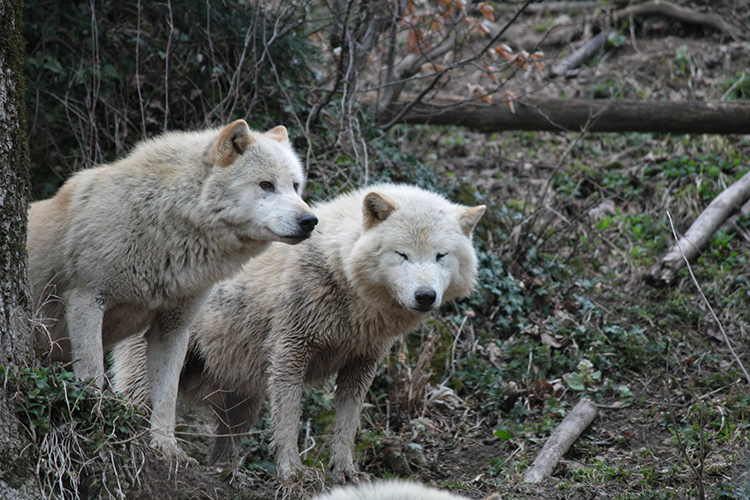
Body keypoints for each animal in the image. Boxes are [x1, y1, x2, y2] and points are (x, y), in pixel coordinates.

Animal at [27, 119, 318, 458]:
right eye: (266, 185)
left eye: (295, 185)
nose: (310, 220)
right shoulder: (87, 300)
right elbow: (93, 374)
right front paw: (94, 424)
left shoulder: (174, 328)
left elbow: (167, 396)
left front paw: (167, 448)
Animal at [113, 184, 488, 480]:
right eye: (403, 255)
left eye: (440, 256)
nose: (425, 296)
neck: (341, 275)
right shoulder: (291, 352)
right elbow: (290, 421)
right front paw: (292, 473)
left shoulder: (361, 363)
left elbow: (347, 425)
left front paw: (345, 472)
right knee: (133, 407)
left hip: (243, 400)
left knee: (224, 446)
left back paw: (227, 472)